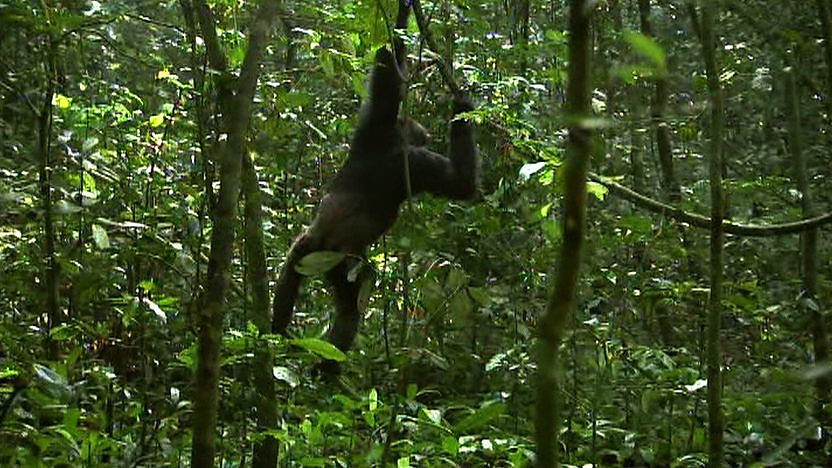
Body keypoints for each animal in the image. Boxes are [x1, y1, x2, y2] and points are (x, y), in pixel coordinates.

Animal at [271, 10, 479, 374]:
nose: (426, 133)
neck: (390, 138)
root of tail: (323, 241)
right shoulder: (416, 161)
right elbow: (461, 183)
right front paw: (461, 107)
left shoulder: (370, 123)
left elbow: (386, 58)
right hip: (342, 263)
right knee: (350, 308)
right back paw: (326, 368)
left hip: (304, 250)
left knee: (291, 278)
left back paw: (275, 337)